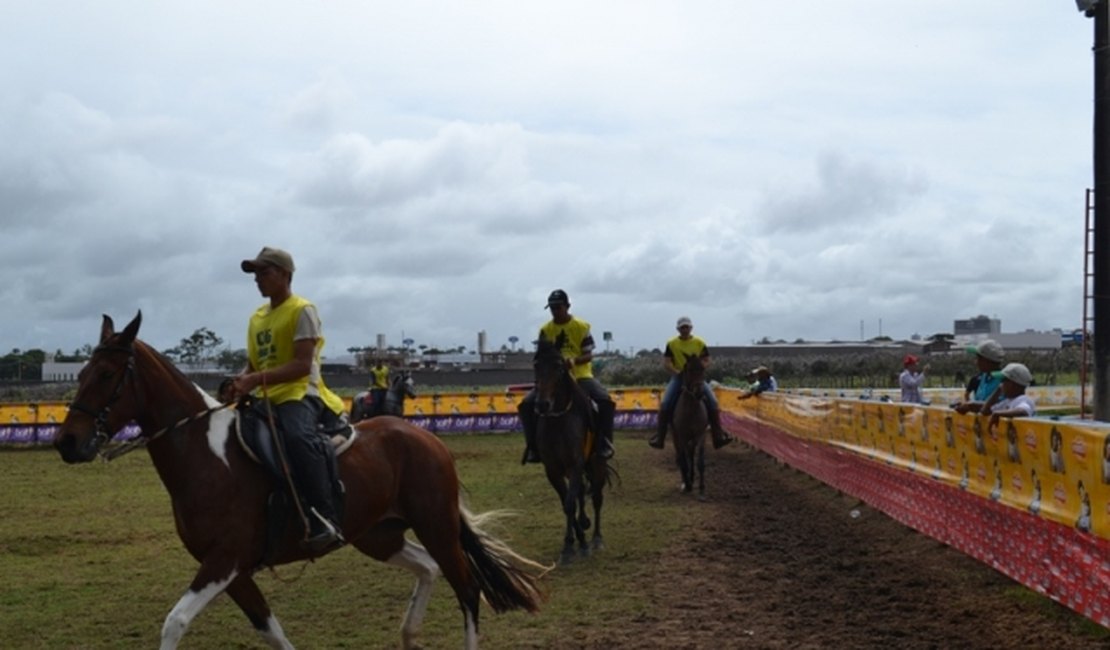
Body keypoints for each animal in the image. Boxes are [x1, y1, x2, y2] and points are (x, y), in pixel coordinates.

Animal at [52, 310, 546, 643]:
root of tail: (426, 438)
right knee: (428, 569)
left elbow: (174, 623)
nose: (67, 442)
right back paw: (408, 634)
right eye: (80, 372)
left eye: (107, 374)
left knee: (467, 590)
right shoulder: (233, 571)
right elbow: (271, 631)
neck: (206, 457)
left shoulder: (224, 561)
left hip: (436, 527)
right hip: (377, 534)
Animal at [528, 334, 608, 561]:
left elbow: (570, 502)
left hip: (597, 464)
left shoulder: (575, 464)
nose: (542, 404)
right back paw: (584, 525)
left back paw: (597, 538)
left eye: (559, 366)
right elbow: (566, 503)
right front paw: (576, 541)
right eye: (536, 365)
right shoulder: (553, 470)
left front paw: (572, 546)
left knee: (597, 497)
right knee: (581, 492)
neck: (559, 420)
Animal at [666, 354, 710, 496]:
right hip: (676, 437)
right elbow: (684, 460)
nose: (699, 392)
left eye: (703, 369)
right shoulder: (682, 436)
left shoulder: (701, 435)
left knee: (690, 454)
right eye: (689, 369)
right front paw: (688, 484)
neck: (692, 409)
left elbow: (700, 461)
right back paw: (685, 482)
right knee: (681, 457)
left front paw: (701, 487)